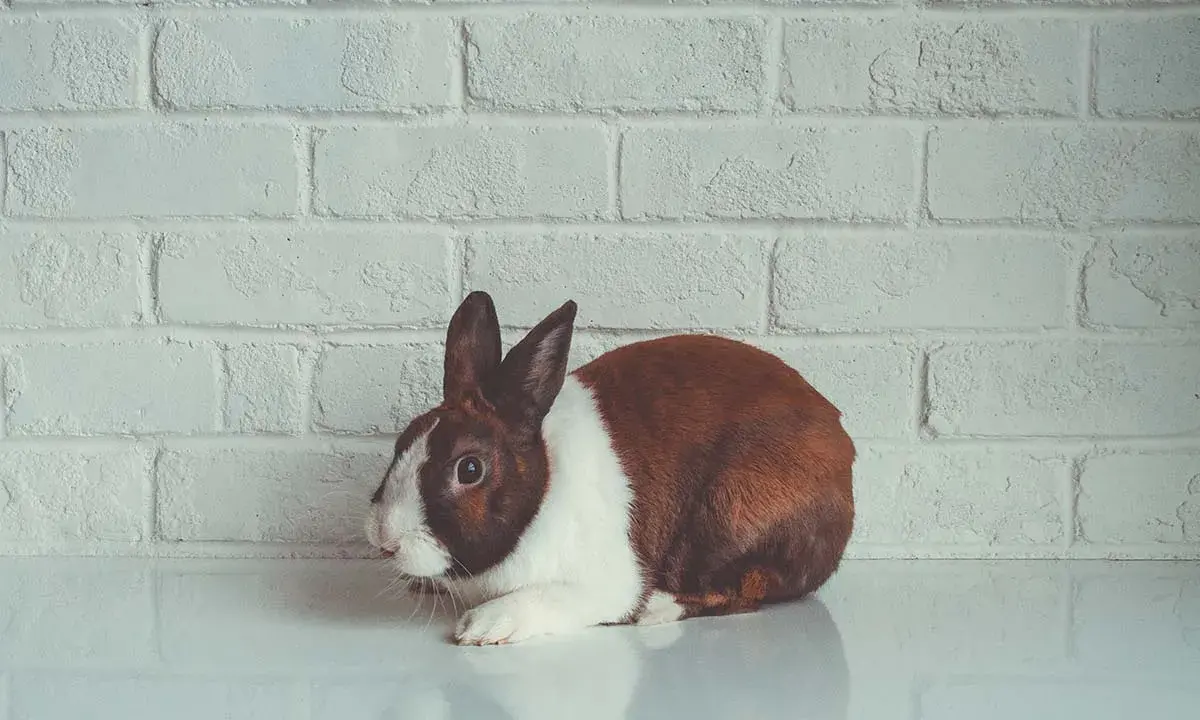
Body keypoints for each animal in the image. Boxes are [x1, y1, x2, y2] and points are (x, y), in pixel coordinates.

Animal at [366, 292, 855, 646]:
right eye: (403, 440)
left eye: (469, 469)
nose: (385, 540)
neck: (543, 490)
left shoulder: (602, 582)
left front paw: (484, 626)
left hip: (728, 518)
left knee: (746, 589)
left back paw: (657, 609)